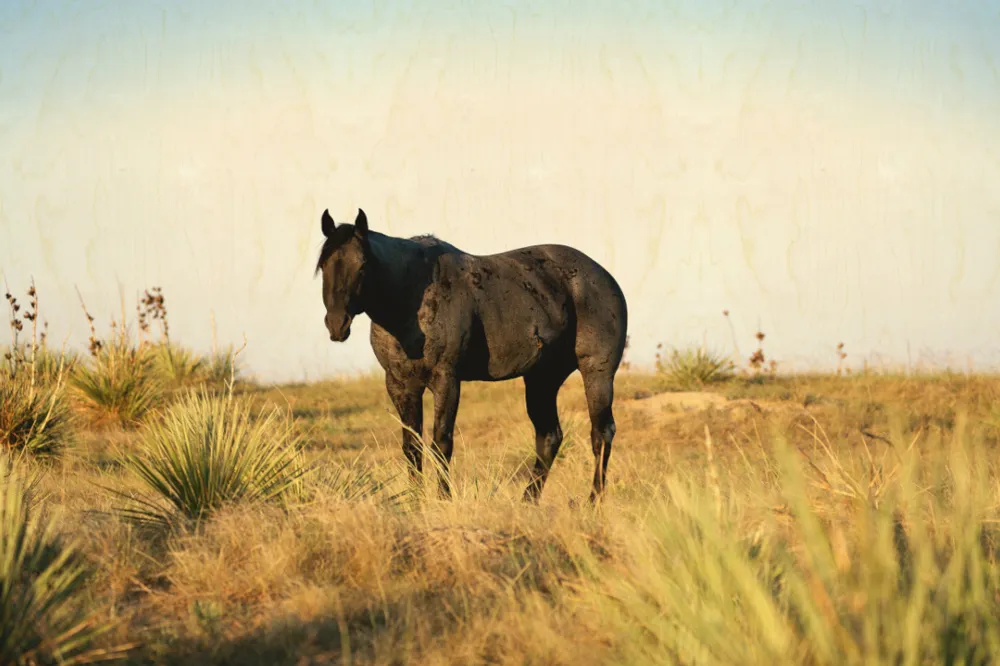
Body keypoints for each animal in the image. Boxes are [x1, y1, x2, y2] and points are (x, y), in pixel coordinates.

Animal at [315, 208, 628, 503]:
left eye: (363, 265)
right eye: (323, 265)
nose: (337, 324)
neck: (412, 295)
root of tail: (604, 276)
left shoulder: (446, 380)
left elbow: (441, 442)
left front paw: (443, 500)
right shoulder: (400, 385)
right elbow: (411, 446)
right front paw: (415, 502)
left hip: (596, 373)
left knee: (601, 433)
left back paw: (593, 502)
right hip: (542, 379)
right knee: (549, 436)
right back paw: (527, 502)